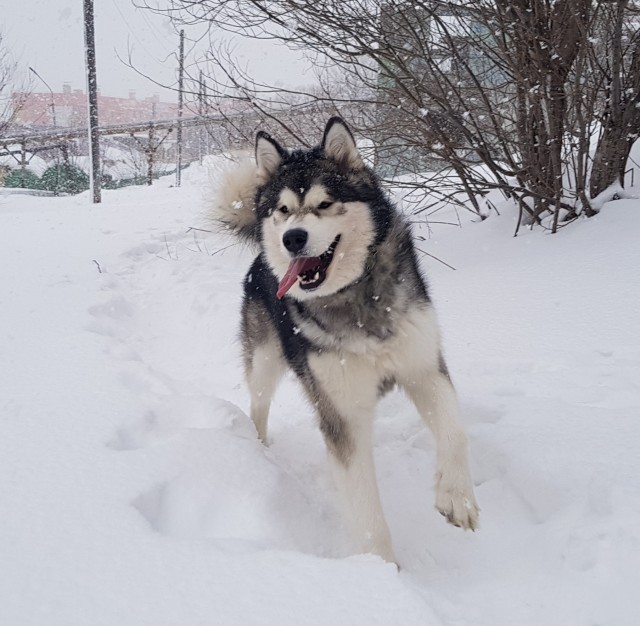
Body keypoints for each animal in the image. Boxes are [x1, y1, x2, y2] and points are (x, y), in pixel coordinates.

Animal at [212, 116, 478, 560]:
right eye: (283, 210)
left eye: (324, 204)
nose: (292, 238)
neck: (356, 296)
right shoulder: (342, 412)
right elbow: (366, 511)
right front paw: (381, 570)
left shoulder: (423, 368)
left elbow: (456, 431)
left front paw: (456, 497)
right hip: (265, 361)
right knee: (258, 405)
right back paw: (260, 449)